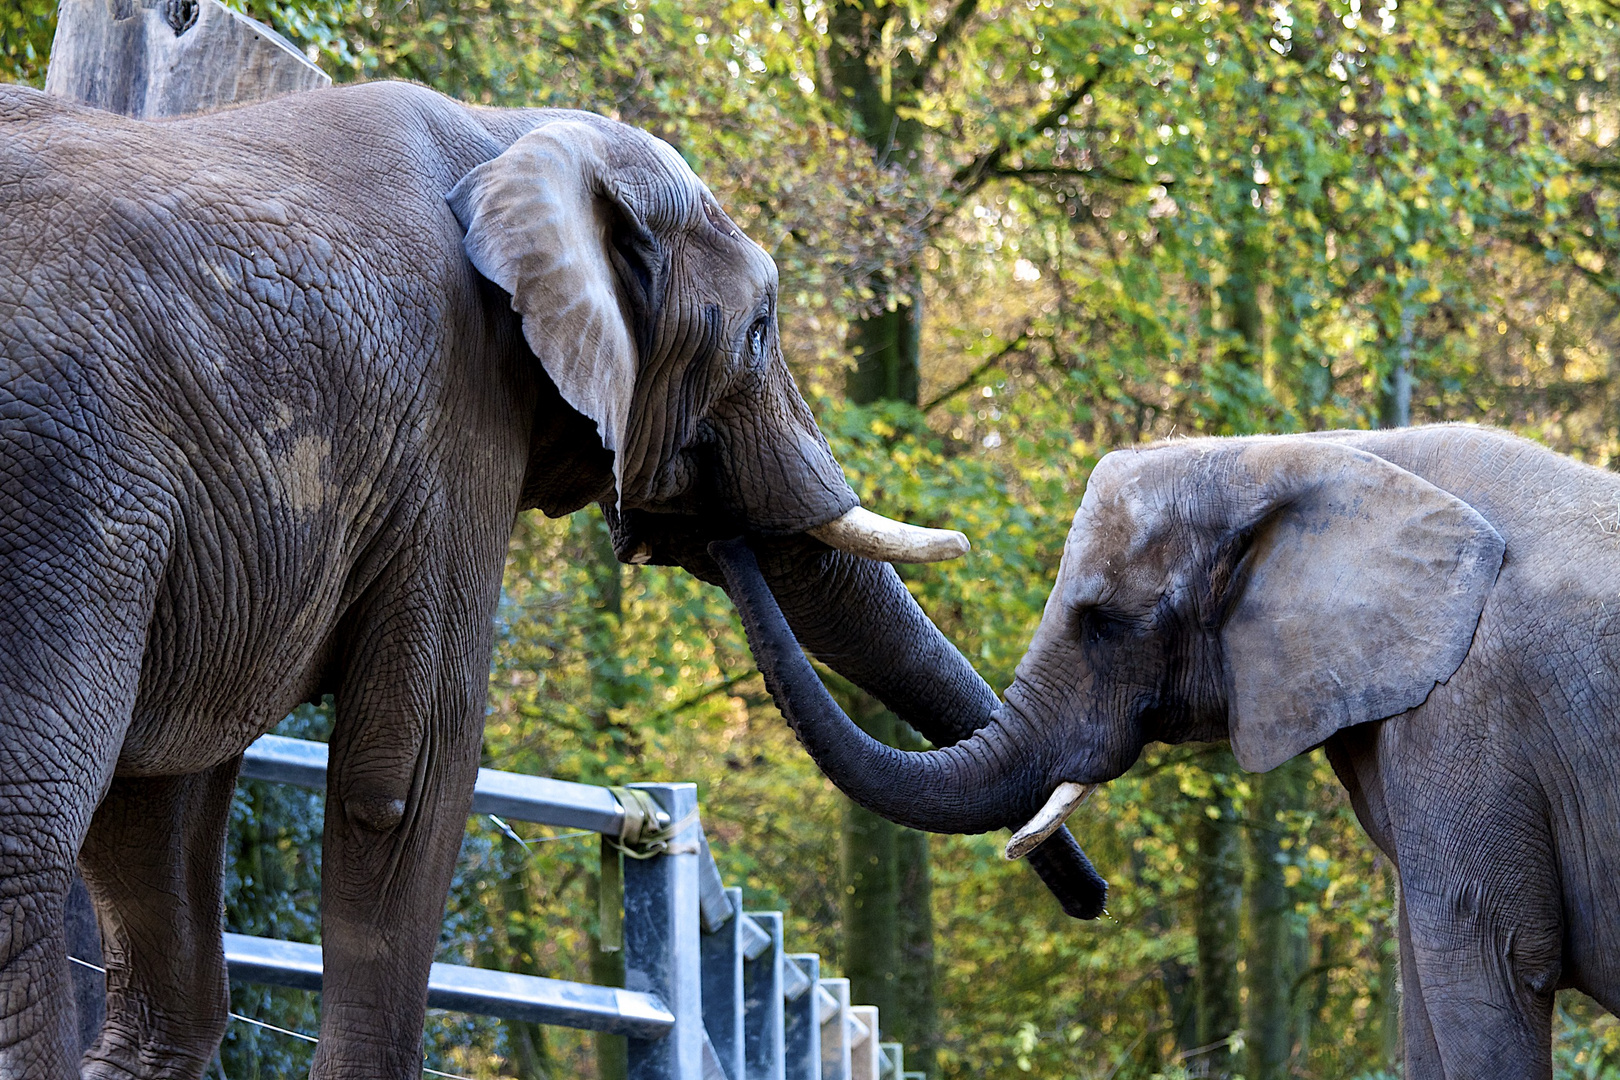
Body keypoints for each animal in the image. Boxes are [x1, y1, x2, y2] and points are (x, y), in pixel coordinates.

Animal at [0, 84, 1101, 1080]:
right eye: (760, 328)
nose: (1089, 899)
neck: (513, 134)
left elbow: (162, 812)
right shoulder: (453, 426)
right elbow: (405, 777)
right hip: (63, 487)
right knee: (27, 842)